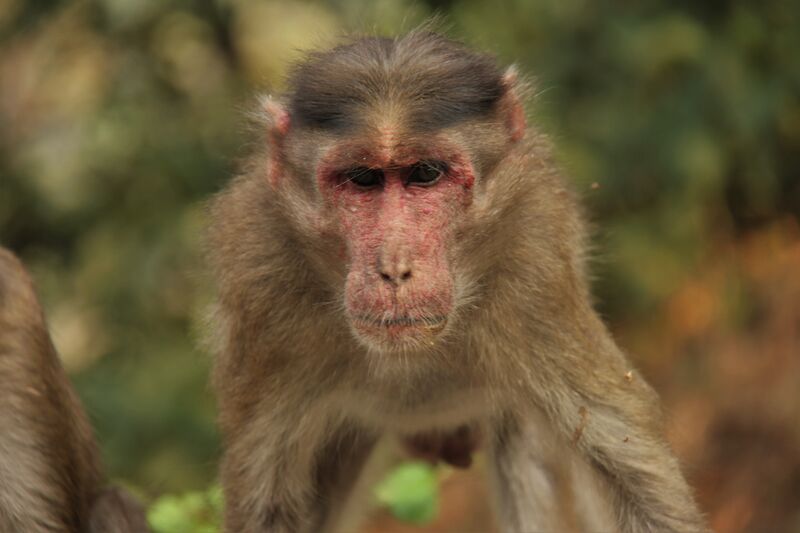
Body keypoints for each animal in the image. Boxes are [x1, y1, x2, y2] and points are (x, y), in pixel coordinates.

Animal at [207, 31, 708, 532]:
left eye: (425, 174)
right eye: (363, 179)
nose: (394, 268)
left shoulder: (535, 261)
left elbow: (629, 466)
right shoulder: (262, 280)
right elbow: (266, 500)